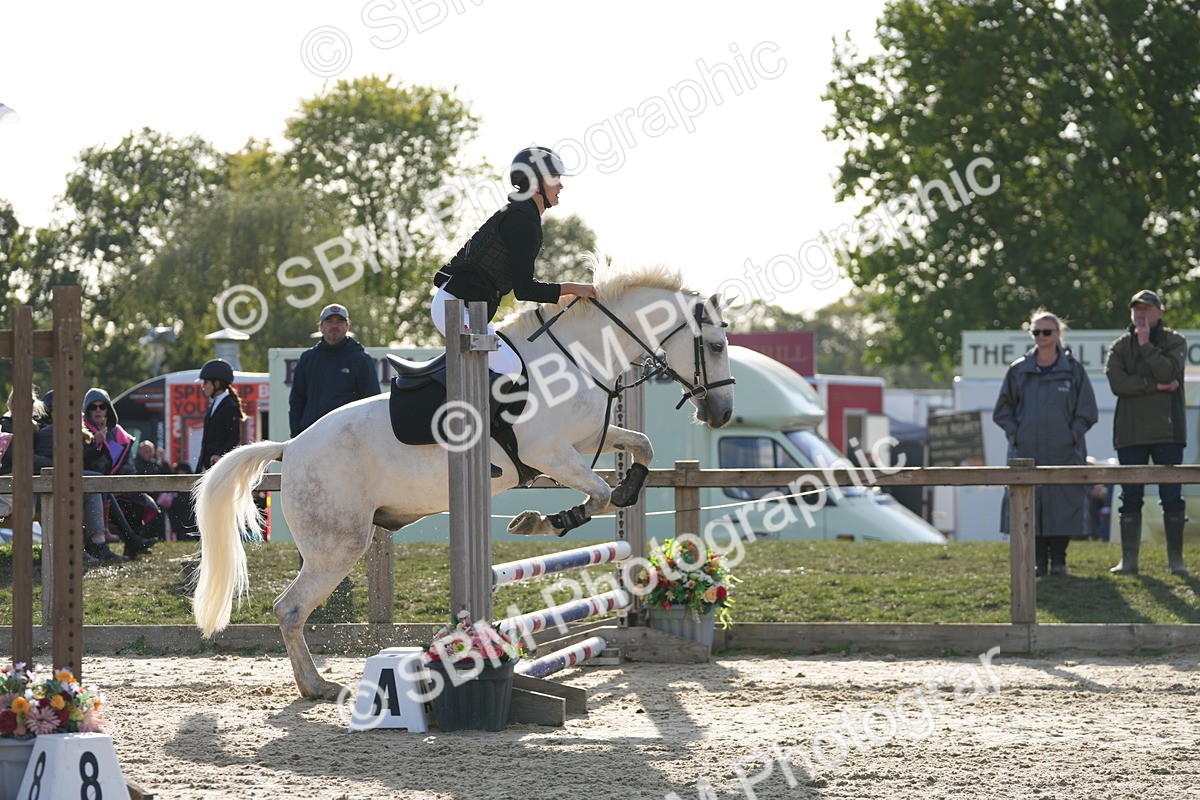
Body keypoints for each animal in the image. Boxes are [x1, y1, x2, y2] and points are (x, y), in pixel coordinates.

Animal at [192, 258, 737, 700]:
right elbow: (599, 495)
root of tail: (291, 447)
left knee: (292, 609)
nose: (722, 412)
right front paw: (546, 520)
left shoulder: (583, 441)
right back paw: (316, 686)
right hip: (338, 545)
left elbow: (640, 448)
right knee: (290, 609)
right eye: (714, 344)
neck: (579, 357)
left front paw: (623, 489)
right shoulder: (549, 453)